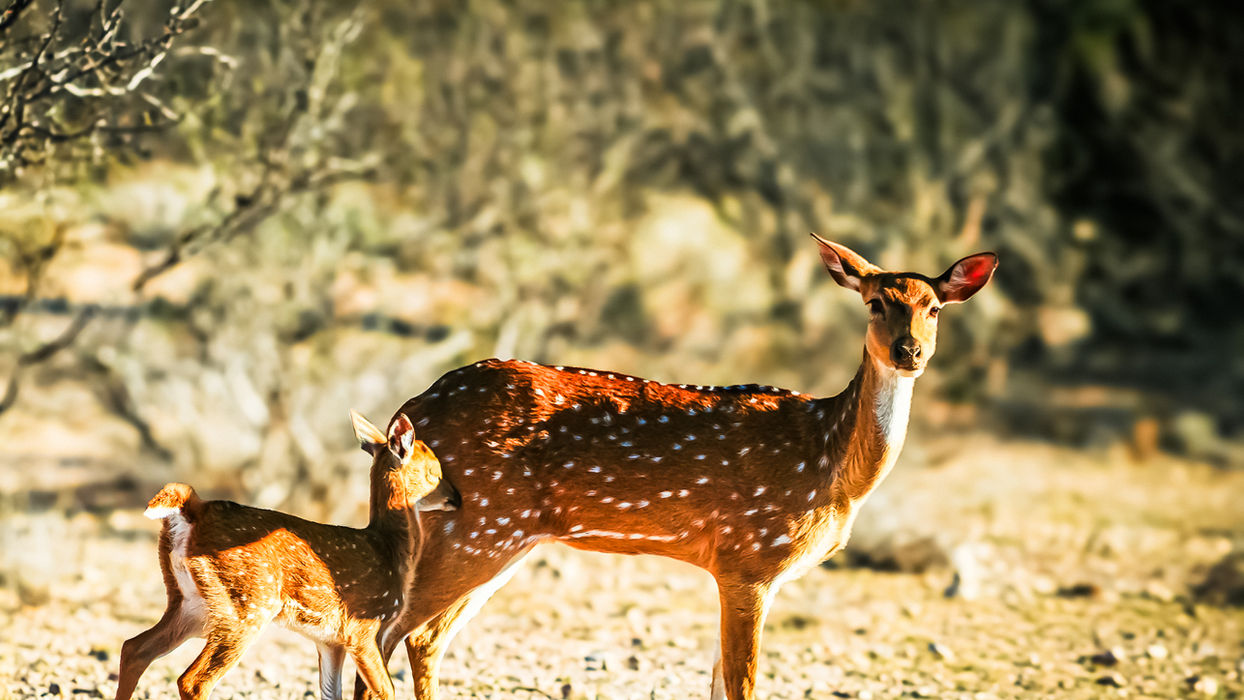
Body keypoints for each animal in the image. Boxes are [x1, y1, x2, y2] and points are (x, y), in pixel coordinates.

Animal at [114, 411, 458, 700]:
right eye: (434, 472)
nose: (457, 498)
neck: (389, 549)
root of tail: (193, 510)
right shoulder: (363, 629)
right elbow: (386, 691)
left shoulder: (330, 640)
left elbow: (331, 693)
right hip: (246, 605)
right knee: (192, 680)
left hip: (191, 603)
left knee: (134, 648)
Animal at [361, 235, 997, 700]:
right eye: (874, 303)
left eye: (934, 308)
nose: (909, 351)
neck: (832, 464)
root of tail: (407, 414)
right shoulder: (748, 560)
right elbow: (742, 685)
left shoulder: (742, 572)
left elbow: (717, 682)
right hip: (476, 526)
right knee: (398, 634)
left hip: (501, 538)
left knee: (417, 638)